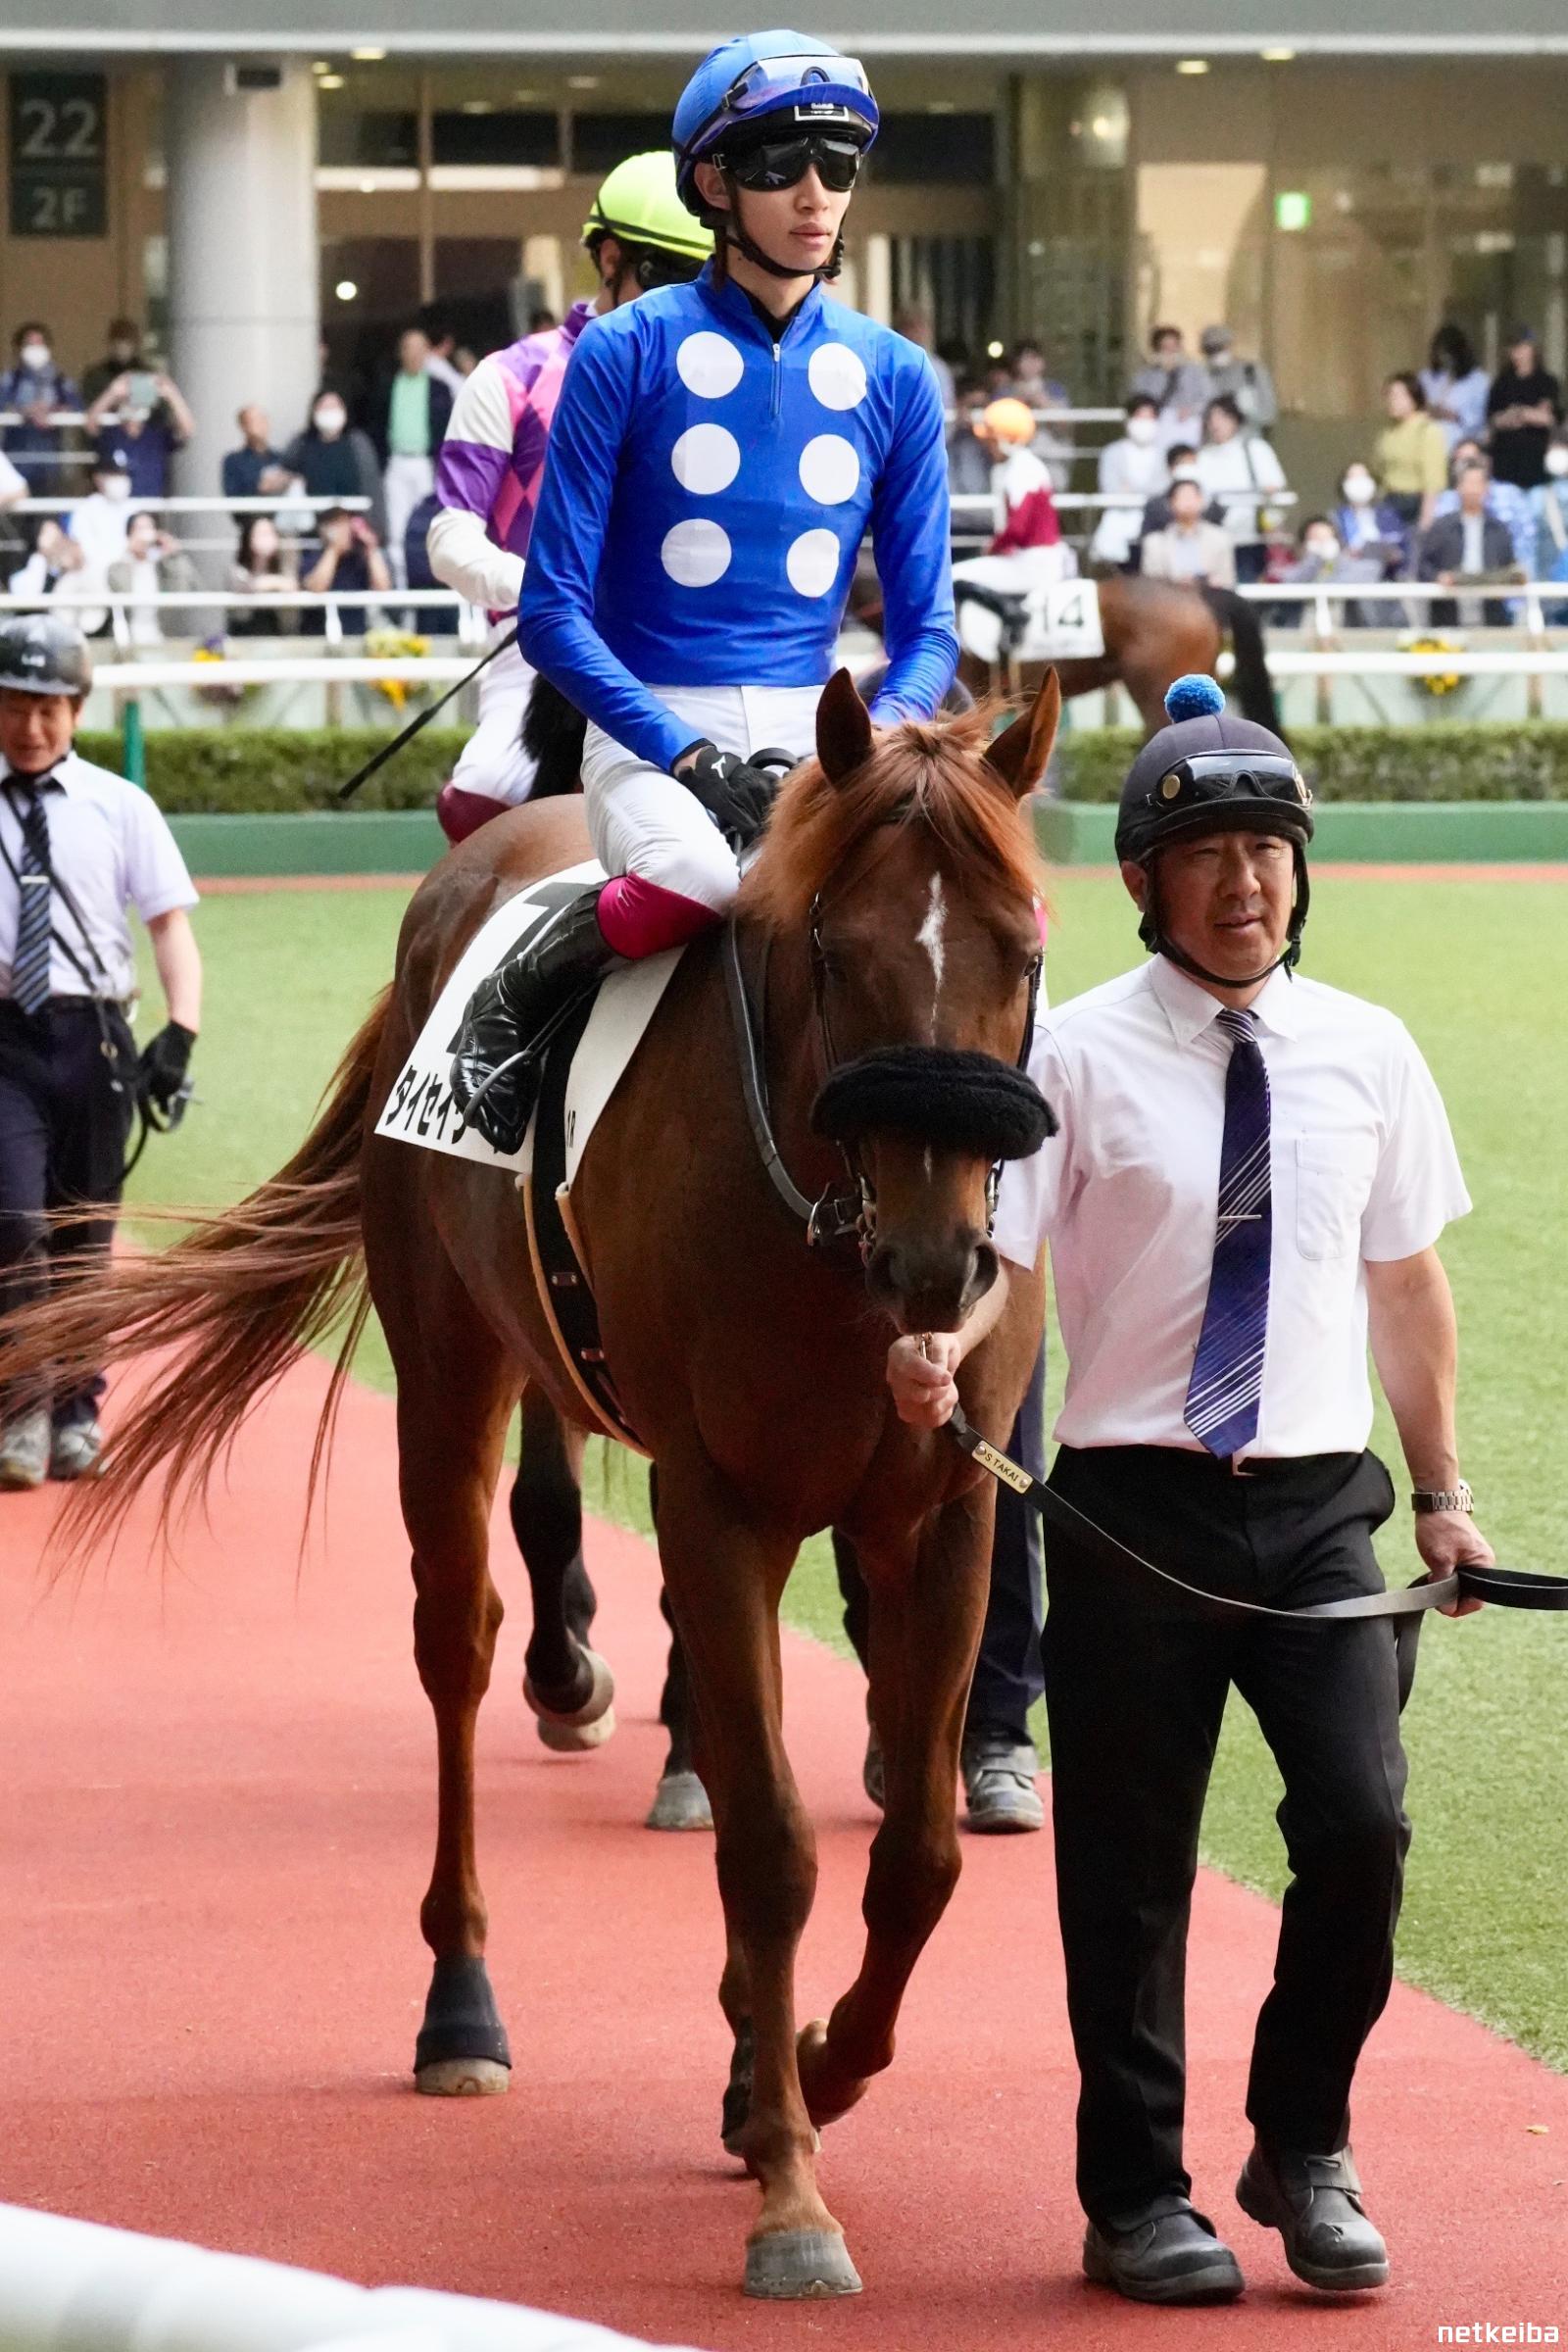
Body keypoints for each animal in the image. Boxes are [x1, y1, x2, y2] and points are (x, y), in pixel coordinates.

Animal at [7, 669, 1060, 2301]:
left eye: (1023, 945)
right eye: (841, 952)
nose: (944, 1259)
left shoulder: (944, 1512)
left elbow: (924, 1854)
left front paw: (812, 2065)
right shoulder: (720, 1504)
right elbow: (770, 1847)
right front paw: (790, 2189)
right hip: (448, 1366)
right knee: (457, 1642)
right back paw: (464, 2000)